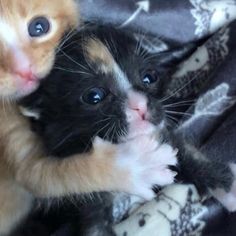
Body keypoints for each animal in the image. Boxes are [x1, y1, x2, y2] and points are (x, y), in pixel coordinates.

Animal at [20, 24, 236, 234]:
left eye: (149, 77)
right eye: (94, 96)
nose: (140, 106)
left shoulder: (159, 134)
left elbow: (184, 150)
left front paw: (226, 184)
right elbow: (93, 224)